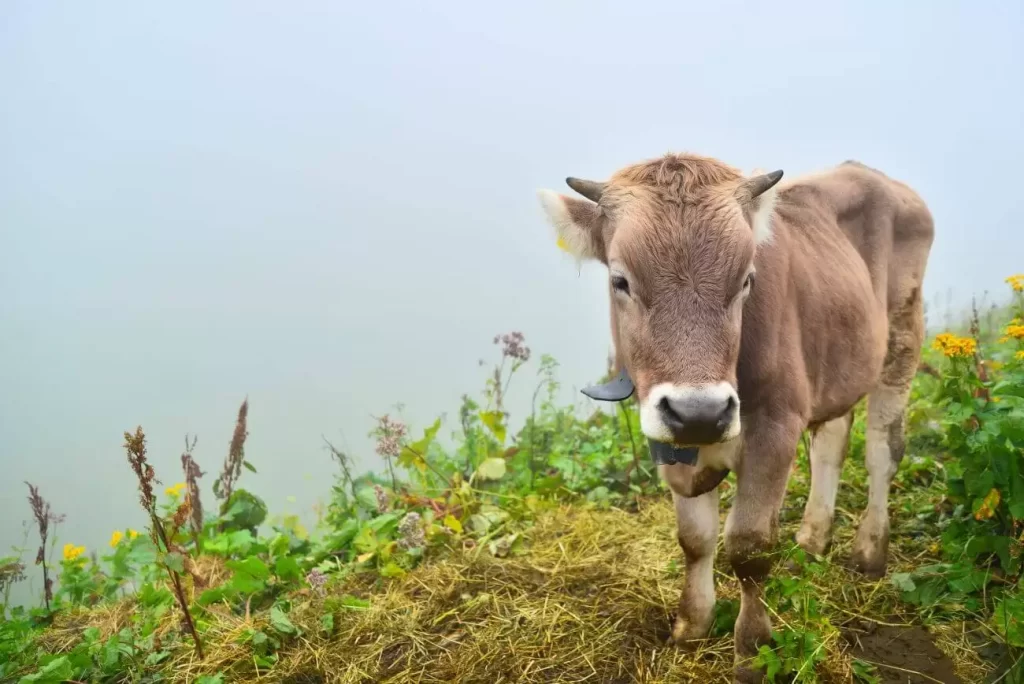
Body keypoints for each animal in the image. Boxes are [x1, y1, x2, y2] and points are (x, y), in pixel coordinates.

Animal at [536, 152, 937, 679]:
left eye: (746, 279)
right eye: (619, 280)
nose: (700, 411)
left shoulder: (776, 425)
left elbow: (748, 546)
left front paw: (753, 651)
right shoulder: (668, 436)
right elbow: (694, 538)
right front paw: (692, 625)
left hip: (903, 337)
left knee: (881, 452)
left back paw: (869, 551)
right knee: (831, 444)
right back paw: (811, 541)